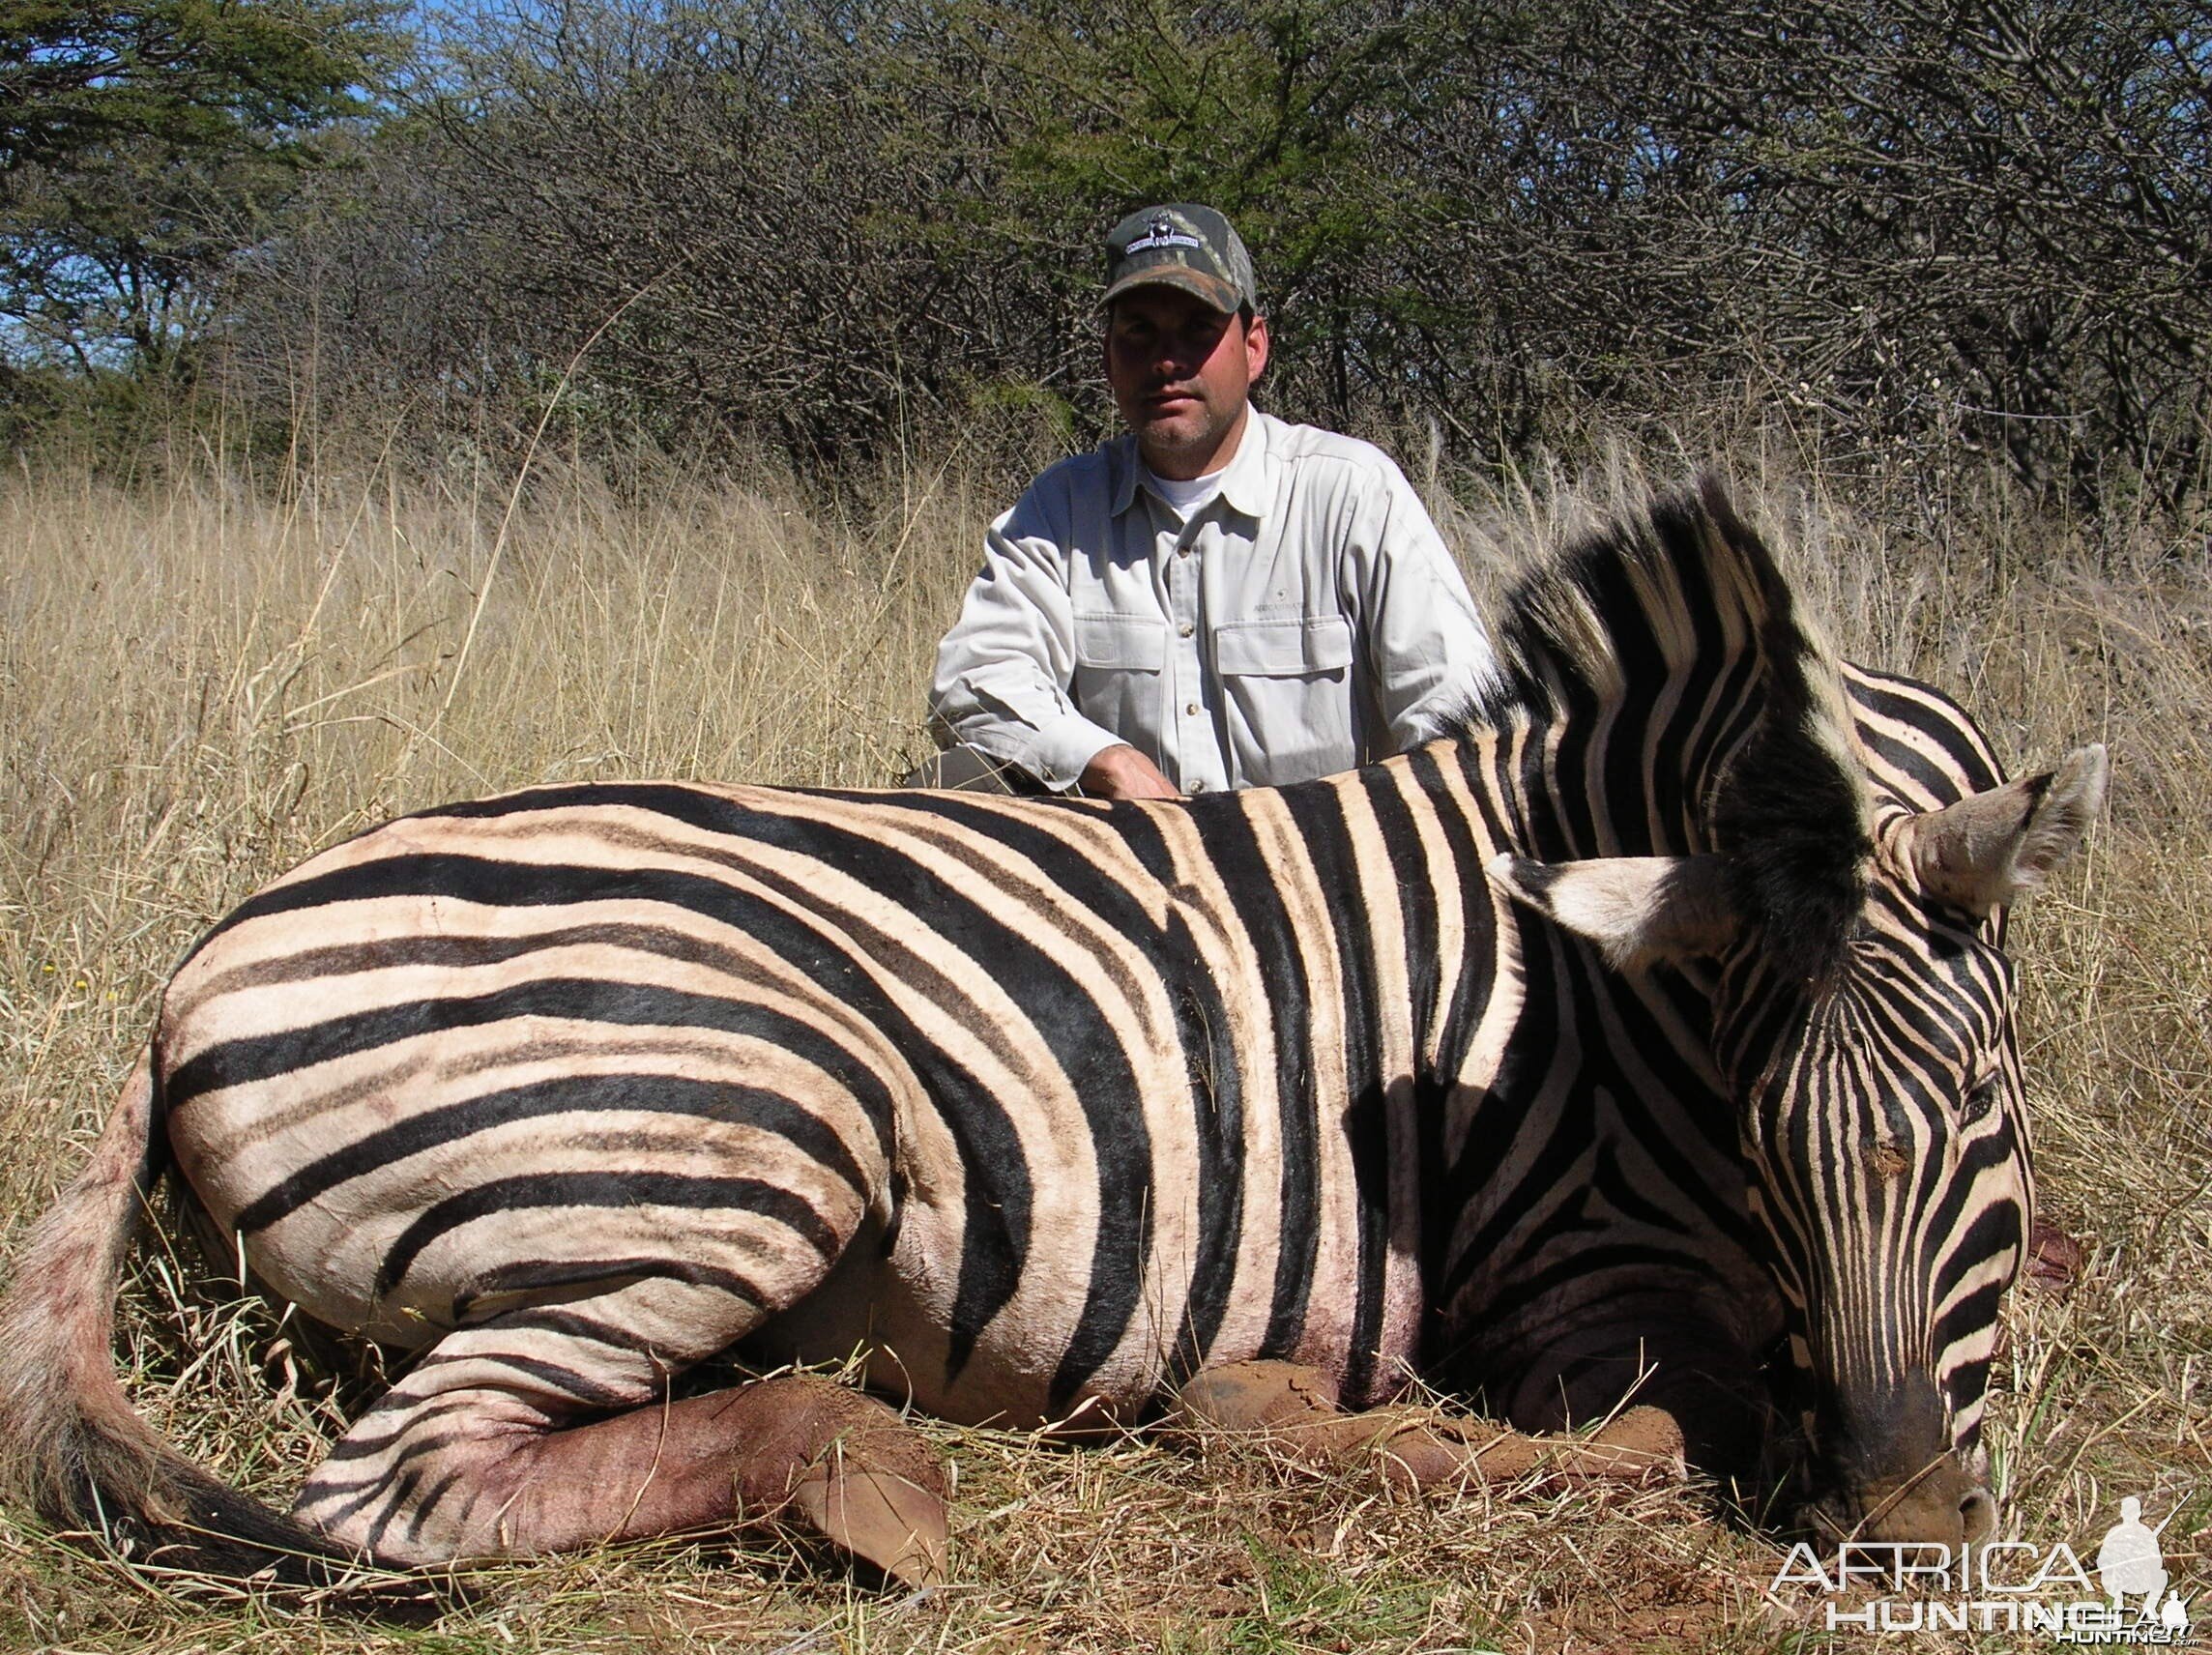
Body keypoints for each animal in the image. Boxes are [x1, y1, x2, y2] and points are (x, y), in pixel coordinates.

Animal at [4, 481, 2106, 1592]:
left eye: (1985, 1105)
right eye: (1759, 1129)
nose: (1903, 1521)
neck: (1594, 1003)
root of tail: (198, 962)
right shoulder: (1580, 1277)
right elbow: (1651, 1433)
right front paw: (1286, 1414)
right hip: (745, 1130)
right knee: (402, 1486)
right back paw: (861, 1473)